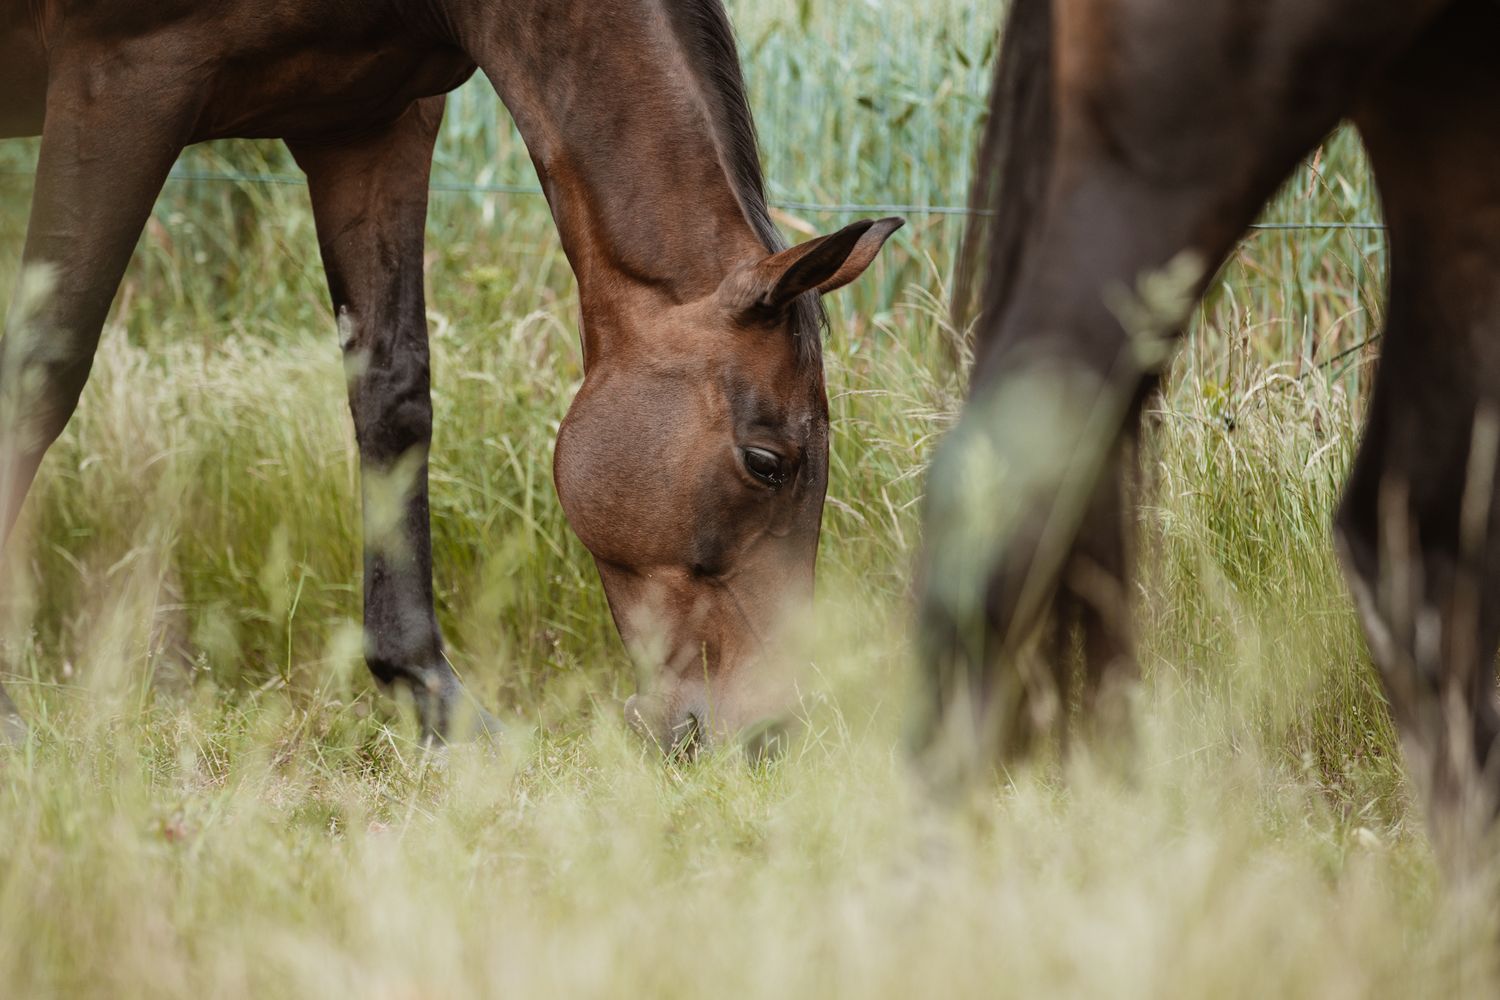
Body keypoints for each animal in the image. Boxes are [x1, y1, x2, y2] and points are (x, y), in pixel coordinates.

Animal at [0, 0, 901, 752]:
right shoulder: (120, 82)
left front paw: (434, 701)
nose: (764, 735)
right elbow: (42, 367)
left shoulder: (370, 122)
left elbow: (394, 395)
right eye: (766, 463)